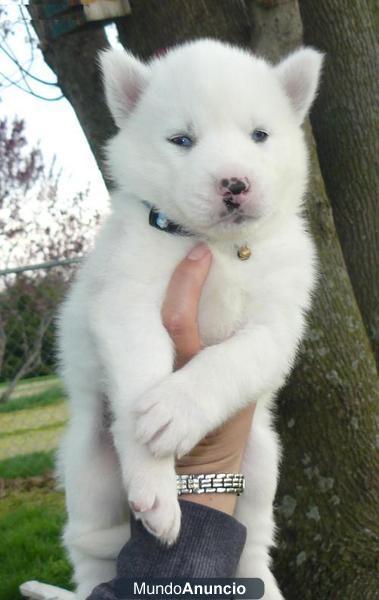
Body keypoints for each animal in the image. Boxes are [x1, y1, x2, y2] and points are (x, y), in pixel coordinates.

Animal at [57, 39, 324, 596]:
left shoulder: (277, 326)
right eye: (182, 140)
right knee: (87, 546)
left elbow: (231, 359)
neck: (218, 247)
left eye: (260, 135)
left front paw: (178, 409)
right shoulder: (126, 304)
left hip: (262, 462)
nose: (234, 183)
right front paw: (155, 481)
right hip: (88, 465)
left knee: (253, 537)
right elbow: (140, 382)